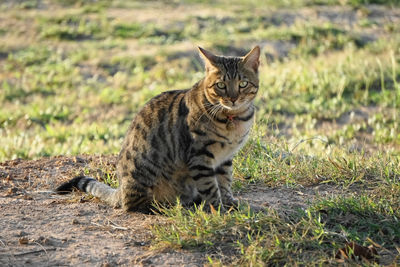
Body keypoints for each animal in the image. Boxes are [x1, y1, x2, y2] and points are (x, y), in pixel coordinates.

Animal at [57, 46, 262, 214]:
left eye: (243, 84)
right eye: (221, 85)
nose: (233, 98)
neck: (233, 118)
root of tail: (120, 190)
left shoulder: (225, 158)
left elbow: (225, 181)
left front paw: (228, 202)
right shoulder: (200, 156)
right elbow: (211, 186)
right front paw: (218, 208)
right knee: (133, 205)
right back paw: (165, 207)